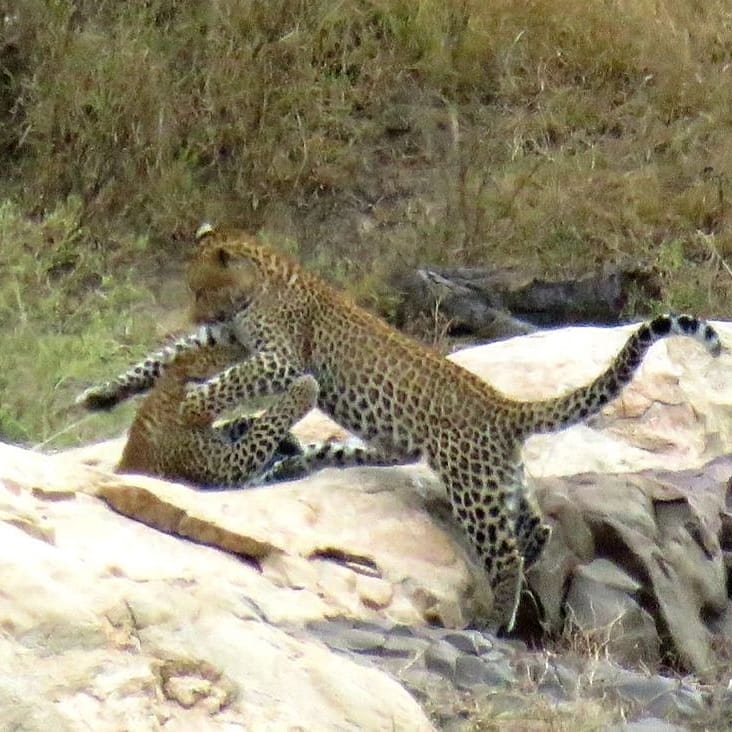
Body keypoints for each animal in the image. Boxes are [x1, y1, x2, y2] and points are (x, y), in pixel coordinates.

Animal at [92, 224, 723, 631]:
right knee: (535, 525)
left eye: (203, 289)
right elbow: (171, 357)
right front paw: (103, 393)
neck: (262, 283)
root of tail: (504, 406)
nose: (193, 310)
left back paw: (494, 622)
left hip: (471, 484)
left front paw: (196, 402)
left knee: (504, 552)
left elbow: (233, 378)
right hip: (500, 477)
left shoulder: (277, 357)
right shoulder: (229, 339)